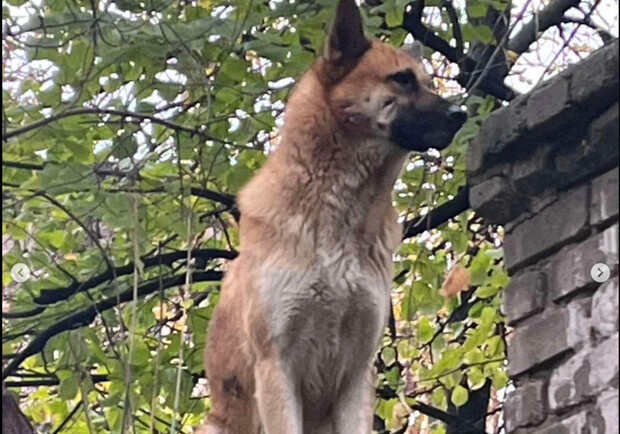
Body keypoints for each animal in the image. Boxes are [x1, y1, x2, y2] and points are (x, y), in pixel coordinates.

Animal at [199, 1, 464, 432]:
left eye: (425, 82)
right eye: (402, 80)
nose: (462, 113)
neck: (339, 209)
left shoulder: (357, 374)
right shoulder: (276, 367)